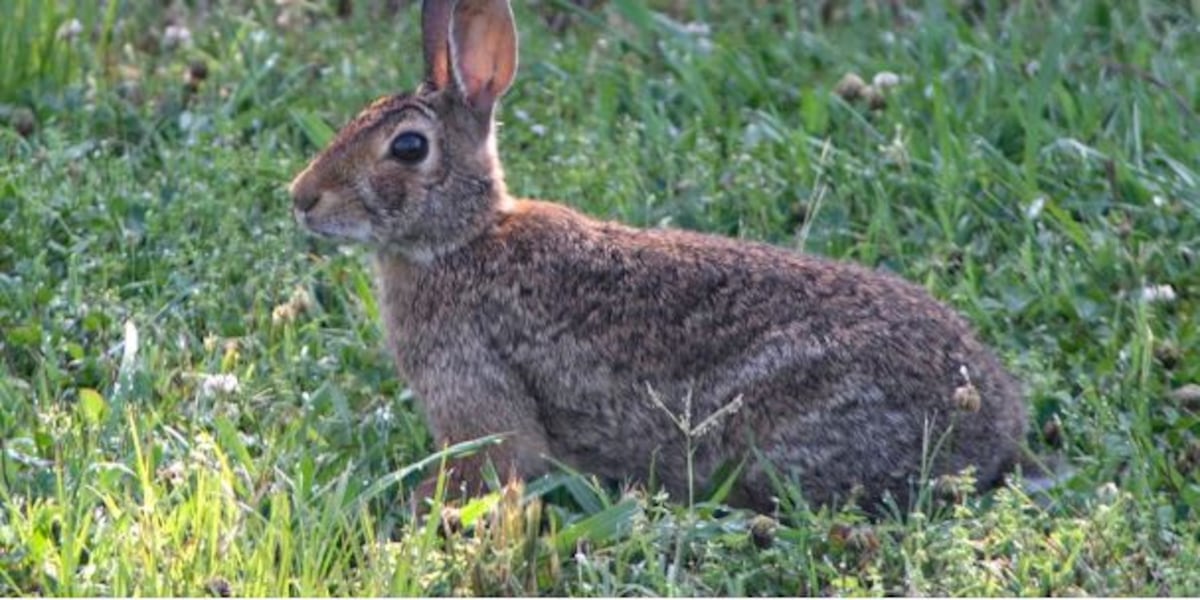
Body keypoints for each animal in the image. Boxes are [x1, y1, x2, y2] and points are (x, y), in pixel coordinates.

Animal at [288, 0, 1029, 514]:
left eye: (408, 148)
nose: (301, 198)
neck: (464, 239)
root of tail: (992, 427)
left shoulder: (479, 396)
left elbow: (496, 464)